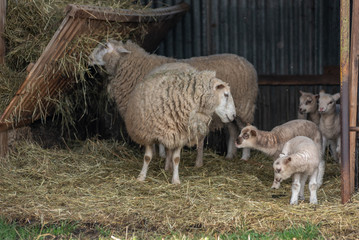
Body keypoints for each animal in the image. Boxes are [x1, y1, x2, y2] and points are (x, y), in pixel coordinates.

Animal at [89, 39, 258, 167]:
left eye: (105, 46)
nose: (89, 57)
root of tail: (247, 62)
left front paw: (162, 156)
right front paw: (162, 155)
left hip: (244, 107)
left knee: (245, 128)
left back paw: (244, 157)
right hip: (229, 113)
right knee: (233, 129)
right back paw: (230, 155)